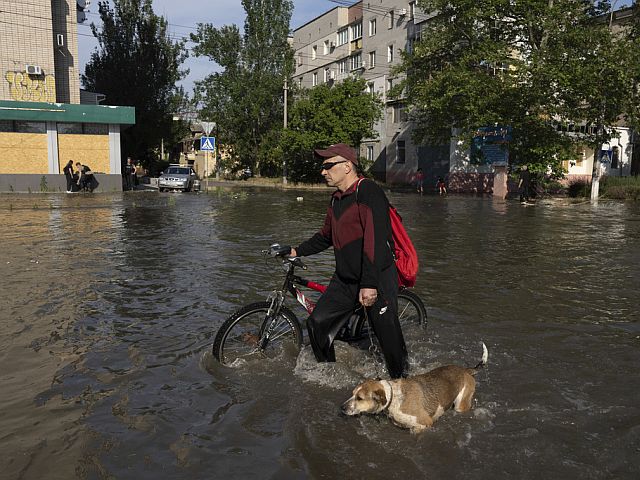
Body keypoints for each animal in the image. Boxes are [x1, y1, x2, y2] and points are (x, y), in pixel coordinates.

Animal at [342, 344, 488, 434]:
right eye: (352, 394)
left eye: (359, 398)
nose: (342, 407)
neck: (393, 397)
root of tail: (465, 370)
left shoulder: (425, 423)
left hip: (460, 405)